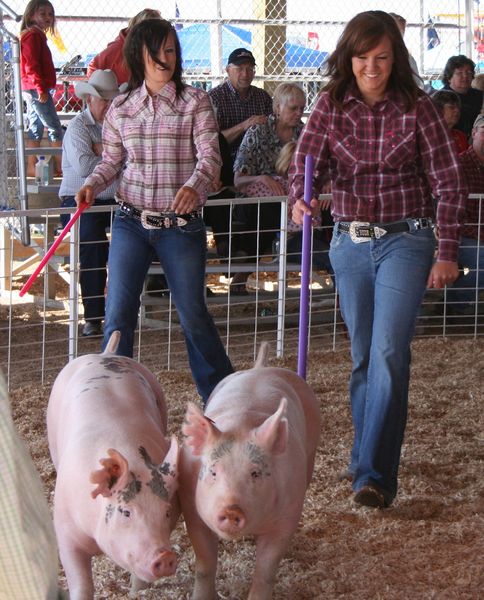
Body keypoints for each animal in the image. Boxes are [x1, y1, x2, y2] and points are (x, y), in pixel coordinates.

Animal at [46, 330, 180, 596]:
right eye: (125, 511)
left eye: (167, 511)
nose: (166, 556)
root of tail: (104, 353)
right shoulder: (65, 531)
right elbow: (81, 581)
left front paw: (136, 593)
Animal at [178, 342, 322, 600]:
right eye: (213, 472)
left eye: (255, 474)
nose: (232, 509)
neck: (241, 425)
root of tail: (259, 368)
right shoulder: (191, 508)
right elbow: (205, 563)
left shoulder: (288, 514)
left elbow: (265, 571)